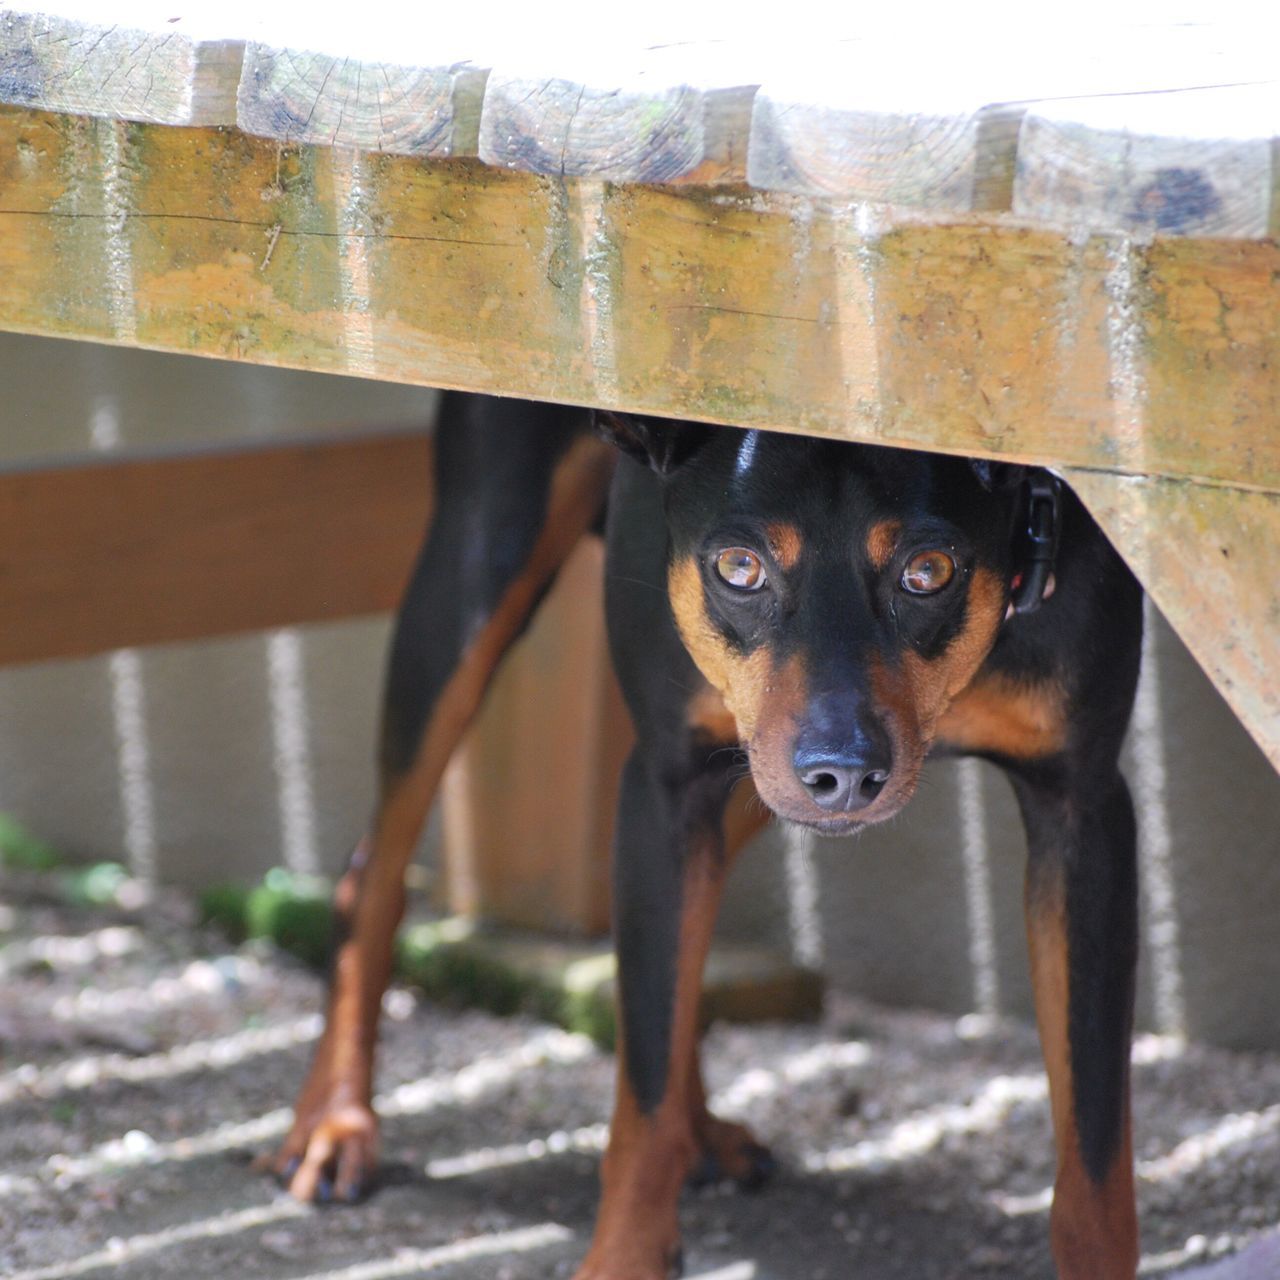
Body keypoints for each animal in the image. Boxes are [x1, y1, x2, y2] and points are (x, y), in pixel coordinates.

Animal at [264, 391, 1146, 1280]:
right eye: (739, 568)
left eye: (928, 571)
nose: (843, 771)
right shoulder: (666, 787)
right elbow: (644, 1092)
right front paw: (624, 1255)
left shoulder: (1084, 815)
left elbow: (1094, 1158)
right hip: (483, 567)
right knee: (374, 867)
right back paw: (335, 1123)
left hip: (750, 776)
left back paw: (703, 1133)